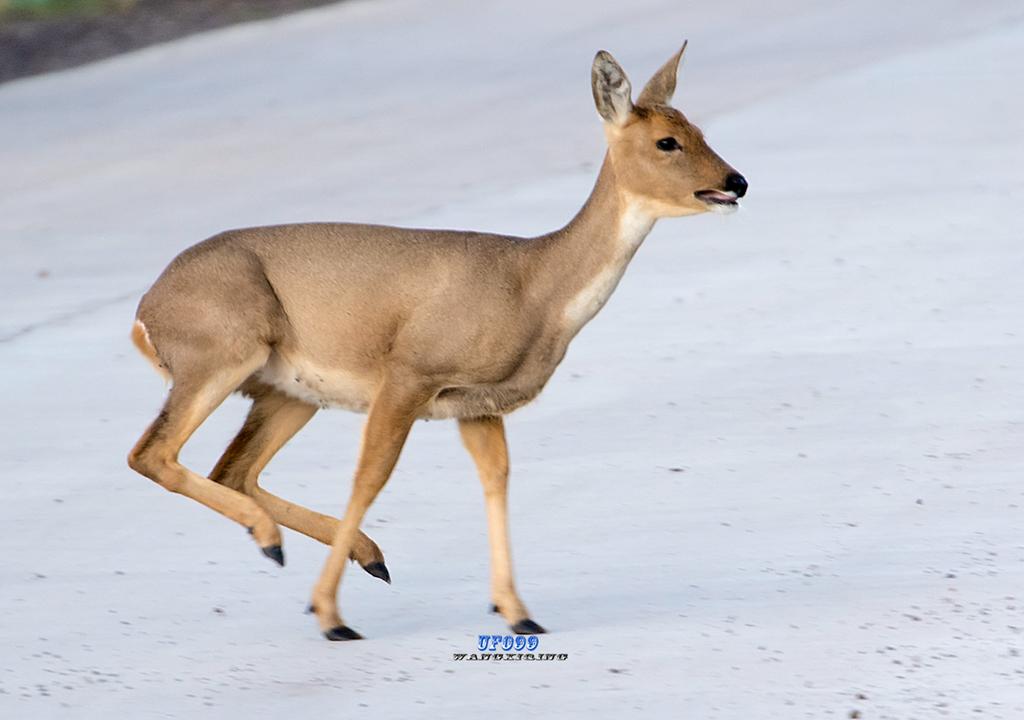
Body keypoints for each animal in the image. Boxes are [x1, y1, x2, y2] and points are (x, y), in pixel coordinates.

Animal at [132, 43, 749, 643]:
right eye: (666, 141)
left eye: (697, 127)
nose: (736, 182)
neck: (534, 287)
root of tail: (144, 313)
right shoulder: (411, 372)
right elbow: (370, 476)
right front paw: (331, 615)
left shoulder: (476, 403)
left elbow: (496, 480)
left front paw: (517, 611)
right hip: (221, 352)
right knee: (152, 453)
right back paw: (284, 546)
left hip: (289, 391)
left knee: (231, 468)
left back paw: (358, 555)